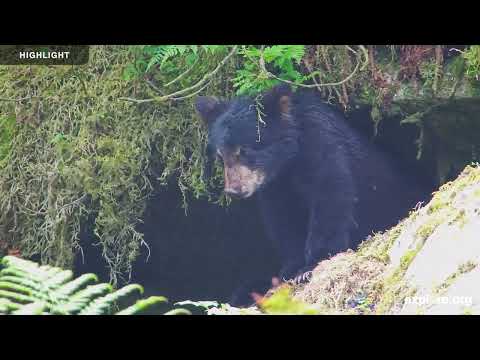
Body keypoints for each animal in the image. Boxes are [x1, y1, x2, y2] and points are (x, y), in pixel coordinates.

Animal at [195, 85, 432, 306]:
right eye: (221, 155)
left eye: (245, 150)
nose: (234, 189)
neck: (288, 161)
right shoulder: (275, 187)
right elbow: (283, 221)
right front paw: (290, 269)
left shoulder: (323, 148)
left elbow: (330, 201)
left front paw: (310, 266)